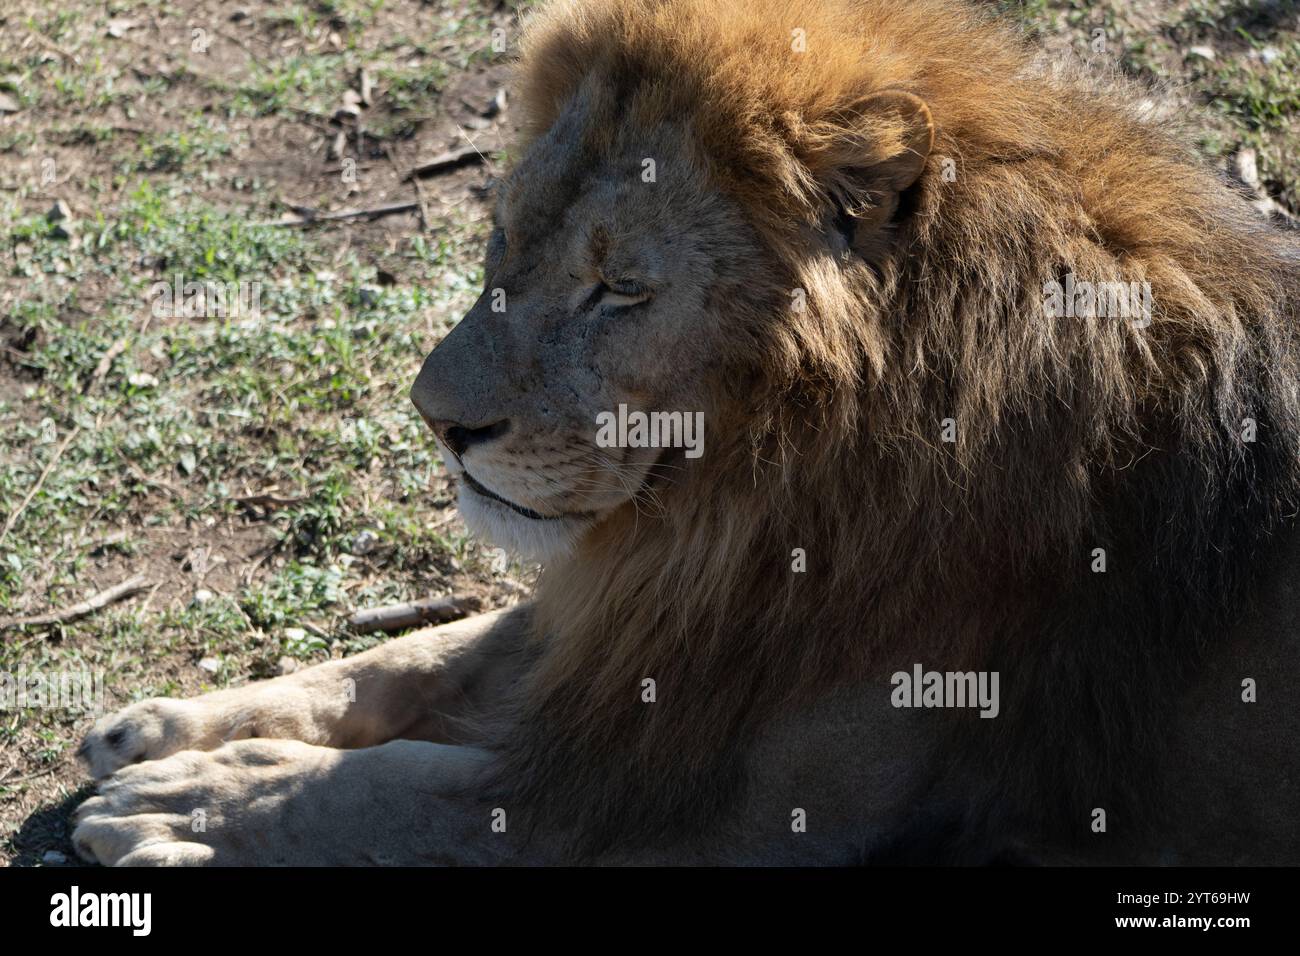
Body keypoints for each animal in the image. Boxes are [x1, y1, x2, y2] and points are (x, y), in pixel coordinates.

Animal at [71, 0, 1300, 868]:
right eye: (504, 240)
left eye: (619, 288)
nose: (437, 422)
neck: (751, 493)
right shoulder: (661, 615)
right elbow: (407, 658)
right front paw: (163, 729)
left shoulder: (734, 803)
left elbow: (400, 790)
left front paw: (197, 799)